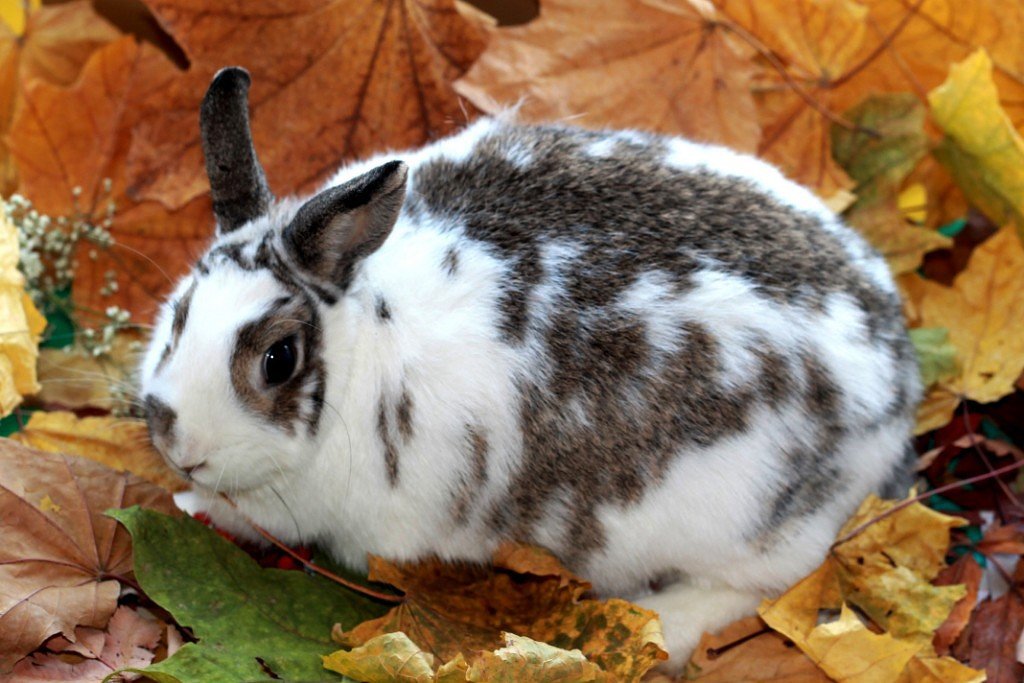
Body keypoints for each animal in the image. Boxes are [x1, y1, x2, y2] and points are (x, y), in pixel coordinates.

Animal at [138, 66, 921, 675]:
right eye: (177, 311)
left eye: (279, 360)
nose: (178, 444)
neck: (364, 329)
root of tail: (898, 388)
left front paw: (189, 502)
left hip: (747, 522)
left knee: (759, 589)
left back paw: (662, 626)